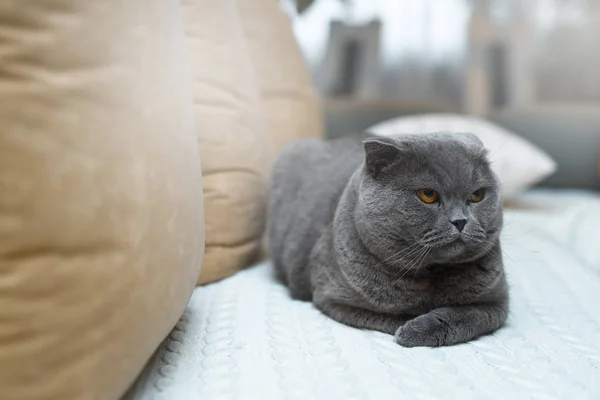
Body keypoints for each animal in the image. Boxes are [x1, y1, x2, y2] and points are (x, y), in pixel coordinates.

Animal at [268, 133, 506, 346]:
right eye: (428, 195)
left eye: (477, 195)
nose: (460, 221)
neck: (432, 273)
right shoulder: (333, 298)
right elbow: (394, 315)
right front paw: (413, 328)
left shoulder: (498, 302)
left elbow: (469, 317)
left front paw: (422, 328)